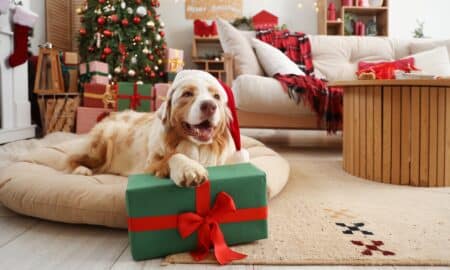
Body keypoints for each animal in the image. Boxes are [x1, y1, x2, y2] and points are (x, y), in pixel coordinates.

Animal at [65, 70, 248, 187]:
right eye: (187, 94)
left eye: (217, 96)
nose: (210, 106)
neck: (198, 147)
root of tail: (109, 116)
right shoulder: (149, 165)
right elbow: (173, 156)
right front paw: (189, 168)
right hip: (101, 145)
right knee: (71, 158)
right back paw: (81, 170)